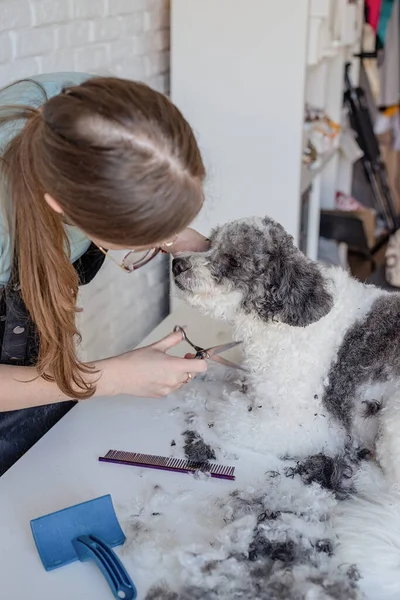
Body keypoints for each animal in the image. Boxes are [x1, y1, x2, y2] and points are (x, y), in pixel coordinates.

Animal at [173, 217, 400, 488]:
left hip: (391, 421)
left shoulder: (318, 428)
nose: (176, 264)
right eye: (209, 243)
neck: (283, 319)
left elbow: (233, 419)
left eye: (233, 261)